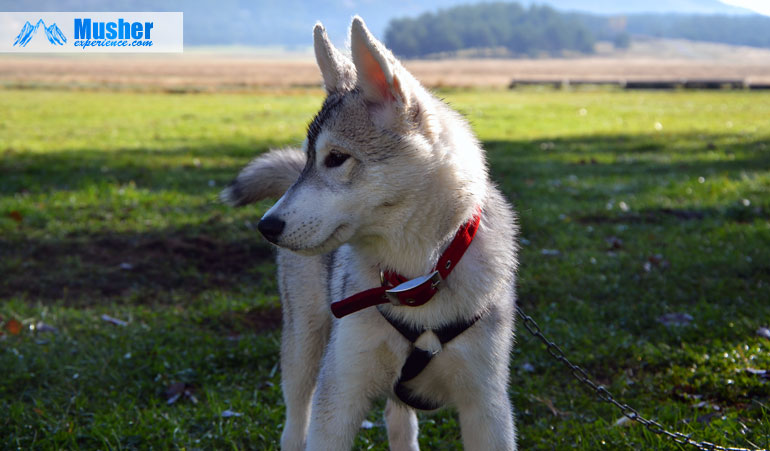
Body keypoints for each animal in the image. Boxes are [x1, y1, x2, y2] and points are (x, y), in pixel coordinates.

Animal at [220, 15, 516, 450]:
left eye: (336, 158)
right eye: (309, 160)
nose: (266, 226)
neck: (415, 279)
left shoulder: (487, 405)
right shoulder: (340, 392)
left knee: (398, 420)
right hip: (304, 343)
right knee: (295, 421)